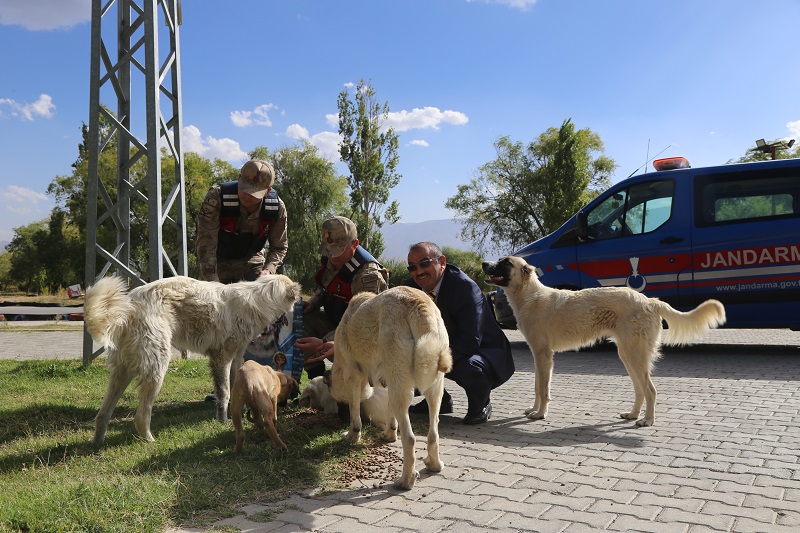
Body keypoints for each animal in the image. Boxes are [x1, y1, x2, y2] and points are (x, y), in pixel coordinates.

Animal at [85, 274, 300, 444]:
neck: (260, 297)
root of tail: (129, 306)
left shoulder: (236, 358)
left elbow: (234, 389)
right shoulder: (221, 357)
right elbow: (224, 392)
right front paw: (223, 420)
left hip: (122, 373)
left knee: (102, 414)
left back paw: (97, 444)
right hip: (156, 368)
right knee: (140, 416)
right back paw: (149, 440)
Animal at [328, 284, 454, 488]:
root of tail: (419, 304)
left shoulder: (353, 375)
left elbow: (355, 414)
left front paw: (351, 437)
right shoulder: (389, 382)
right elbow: (390, 414)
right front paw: (389, 434)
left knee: (409, 439)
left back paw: (405, 481)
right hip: (432, 388)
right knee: (433, 433)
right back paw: (435, 465)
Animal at [482, 256, 724, 426]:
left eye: (505, 262)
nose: (484, 263)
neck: (530, 296)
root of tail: (649, 301)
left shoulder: (543, 355)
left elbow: (542, 389)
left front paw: (540, 414)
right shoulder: (539, 355)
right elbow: (537, 386)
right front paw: (534, 410)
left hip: (635, 355)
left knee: (651, 390)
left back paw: (647, 420)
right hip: (627, 355)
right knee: (640, 389)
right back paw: (633, 414)